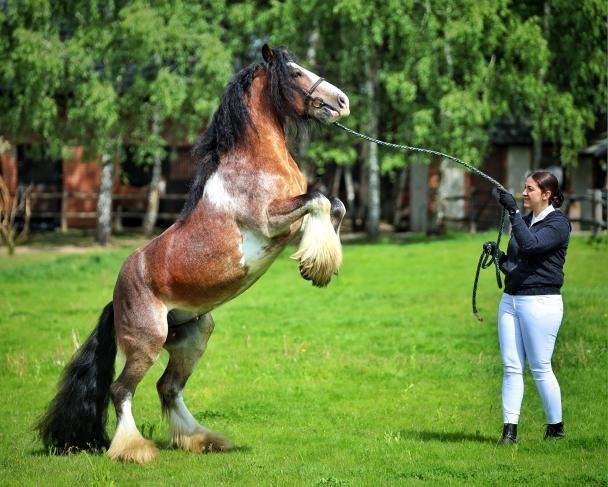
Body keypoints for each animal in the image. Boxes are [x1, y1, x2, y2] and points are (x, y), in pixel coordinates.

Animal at [38, 45, 350, 466]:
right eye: (296, 72)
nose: (342, 102)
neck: (253, 166)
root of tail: (116, 298)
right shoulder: (269, 221)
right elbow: (319, 198)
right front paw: (316, 265)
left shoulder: (289, 228)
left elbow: (335, 204)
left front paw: (317, 262)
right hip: (147, 341)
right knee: (122, 390)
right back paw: (134, 450)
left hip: (194, 334)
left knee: (167, 387)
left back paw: (201, 439)